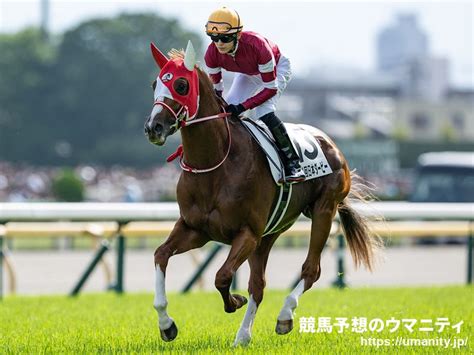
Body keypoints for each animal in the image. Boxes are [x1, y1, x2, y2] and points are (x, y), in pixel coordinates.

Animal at [144, 41, 382, 348]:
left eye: (181, 85)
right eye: (155, 84)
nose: (154, 128)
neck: (215, 163)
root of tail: (330, 143)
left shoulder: (247, 232)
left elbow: (222, 276)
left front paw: (234, 301)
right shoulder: (195, 229)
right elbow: (161, 254)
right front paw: (167, 324)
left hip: (323, 210)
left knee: (310, 270)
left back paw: (284, 316)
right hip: (271, 232)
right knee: (259, 284)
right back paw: (243, 336)